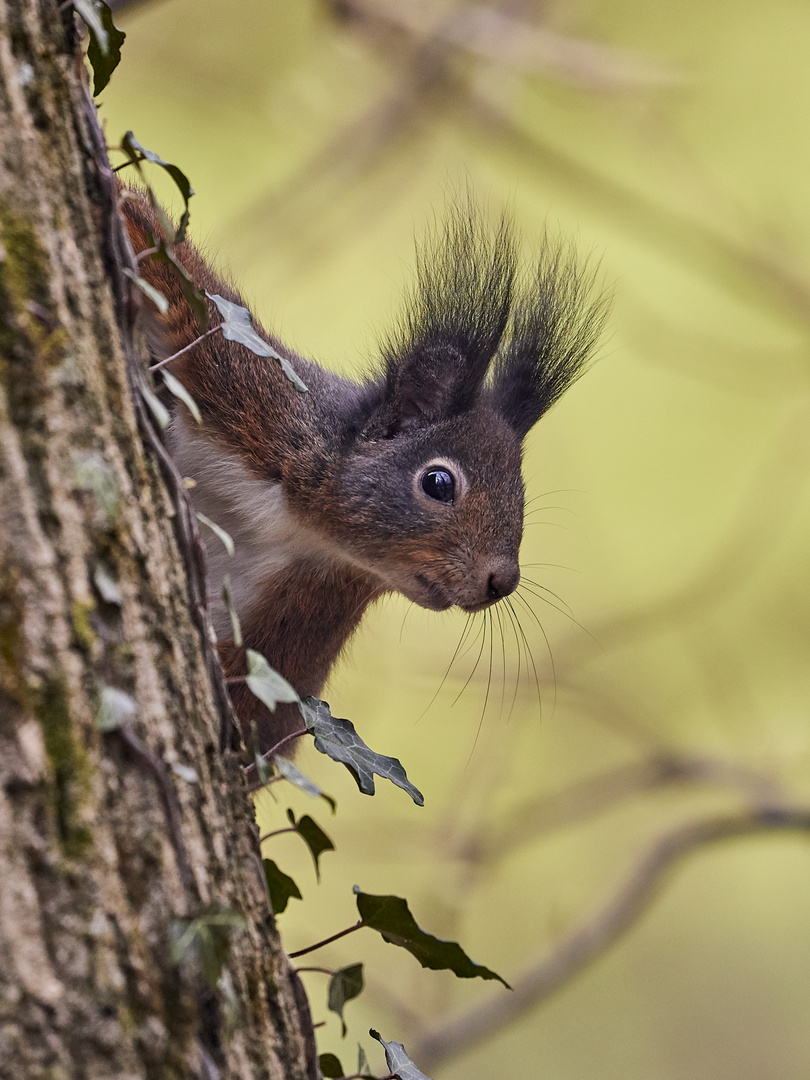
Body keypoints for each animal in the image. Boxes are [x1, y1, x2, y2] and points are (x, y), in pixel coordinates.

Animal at [120, 185, 609, 756]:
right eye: (439, 482)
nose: (502, 581)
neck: (301, 523)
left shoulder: (308, 608)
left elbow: (257, 701)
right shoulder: (256, 391)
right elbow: (182, 286)